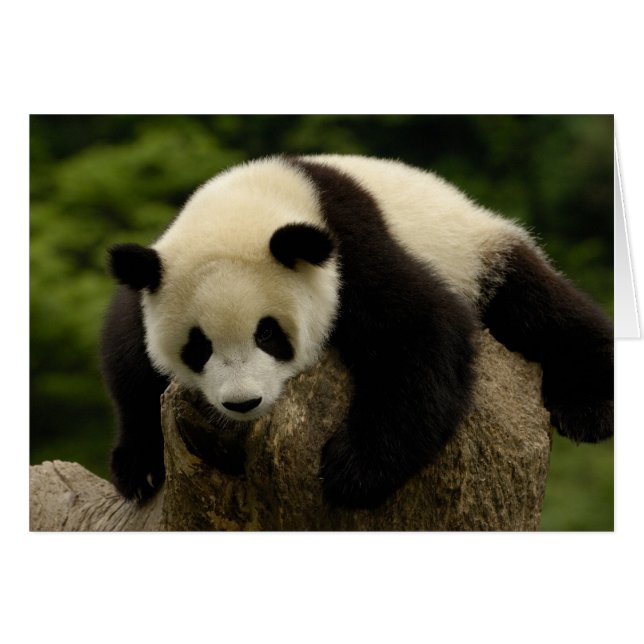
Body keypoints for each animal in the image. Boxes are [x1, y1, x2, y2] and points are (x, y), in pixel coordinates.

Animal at [101, 154, 613, 509]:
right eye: (199, 346)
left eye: (268, 334)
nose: (242, 403)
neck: (252, 200)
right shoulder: (151, 276)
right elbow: (129, 360)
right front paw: (140, 468)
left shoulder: (349, 247)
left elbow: (421, 330)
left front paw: (352, 470)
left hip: (476, 254)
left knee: (541, 309)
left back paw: (589, 409)